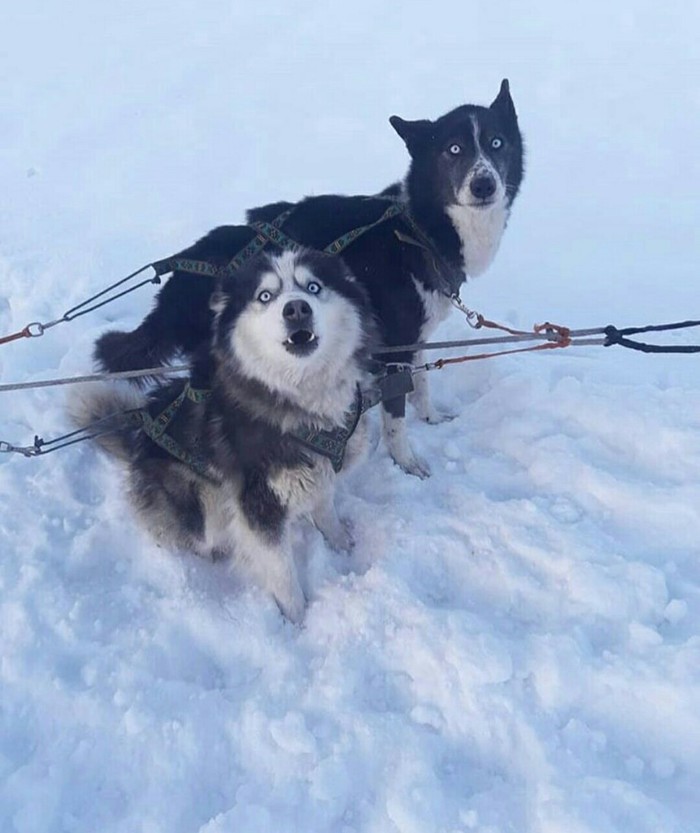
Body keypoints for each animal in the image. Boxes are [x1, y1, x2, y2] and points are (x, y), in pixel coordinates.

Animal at [76, 250, 378, 620]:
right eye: (265, 296)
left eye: (313, 287)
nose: (296, 309)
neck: (300, 405)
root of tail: (138, 440)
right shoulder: (259, 505)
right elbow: (283, 574)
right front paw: (296, 621)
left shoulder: (319, 475)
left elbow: (326, 512)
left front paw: (341, 546)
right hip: (203, 505)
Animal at [95, 83, 524, 480]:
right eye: (453, 149)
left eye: (496, 142)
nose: (483, 184)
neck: (416, 227)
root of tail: (186, 270)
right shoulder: (395, 350)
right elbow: (396, 420)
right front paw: (407, 463)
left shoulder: (413, 341)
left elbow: (422, 386)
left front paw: (432, 418)